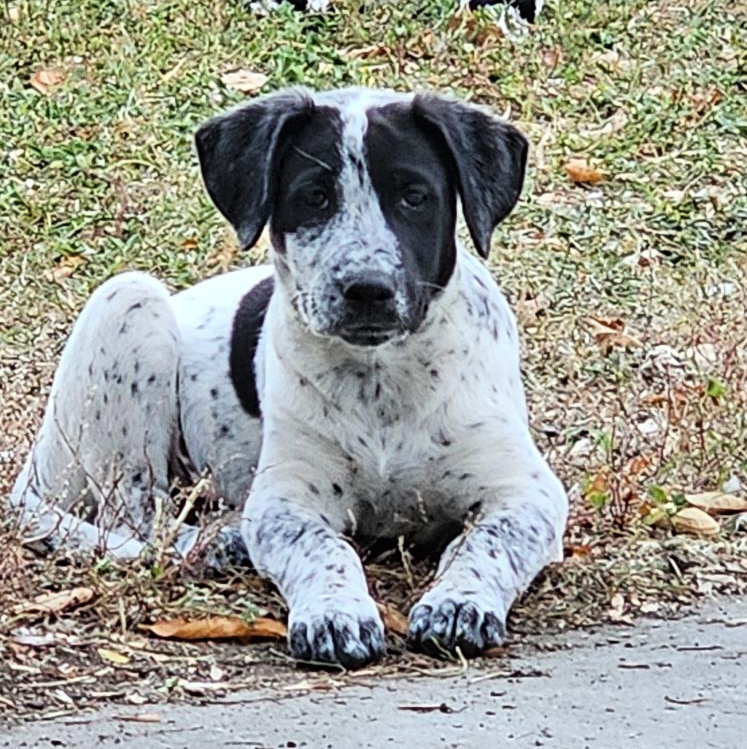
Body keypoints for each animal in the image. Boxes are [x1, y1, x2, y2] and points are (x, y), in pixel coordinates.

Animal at [10, 86, 568, 668]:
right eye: (314, 197)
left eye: (415, 196)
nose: (366, 289)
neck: (382, 384)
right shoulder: (287, 499)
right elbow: (323, 549)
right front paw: (334, 614)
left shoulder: (527, 493)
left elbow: (487, 543)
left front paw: (459, 603)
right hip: (129, 301)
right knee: (137, 512)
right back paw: (218, 542)